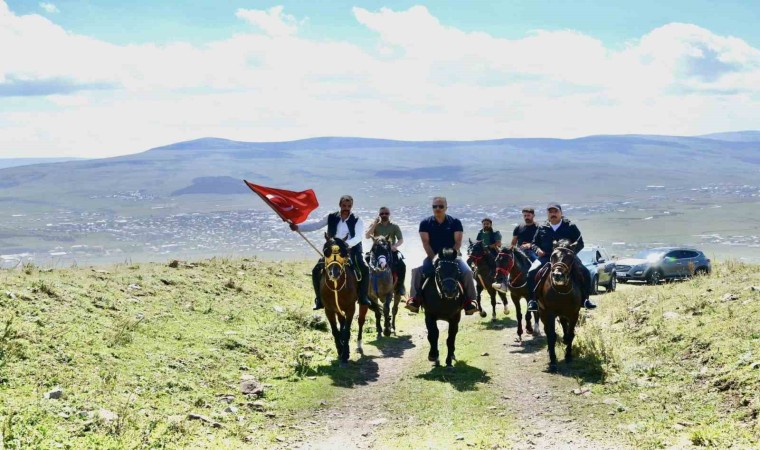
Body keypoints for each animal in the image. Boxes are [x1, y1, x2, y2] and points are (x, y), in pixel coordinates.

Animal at [320, 234, 358, 368]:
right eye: (326, 251)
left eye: (344, 253)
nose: (334, 273)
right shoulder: (329, 310)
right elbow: (335, 331)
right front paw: (340, 350)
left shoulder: (351, 308)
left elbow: (346, 331)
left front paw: (345, 355)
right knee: (341, 322)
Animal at [536, 239, 584, 372]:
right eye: (553, 256)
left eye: (570, 257)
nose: (558, 275)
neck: (562, 291)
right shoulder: (550, 313)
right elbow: (552, 335)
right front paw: (553, 361)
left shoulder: (574, 313)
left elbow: (571, 334)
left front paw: (568, 355)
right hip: (542, 312)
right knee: (547, 331)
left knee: (564, 325)